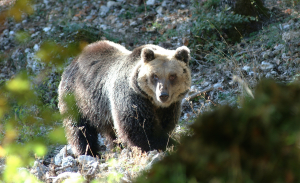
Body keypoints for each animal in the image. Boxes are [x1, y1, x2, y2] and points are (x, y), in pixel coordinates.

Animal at [57, 40, 191, 156]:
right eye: (155, 76)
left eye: (172, 76)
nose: (163, 95)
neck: (153, 101)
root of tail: (73, 61)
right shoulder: (131, 96)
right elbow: (139, 128)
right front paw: (168, 144)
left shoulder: (170, 106)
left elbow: (166, 124)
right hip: (77, 97)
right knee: (78, 128)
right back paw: (89, 152)